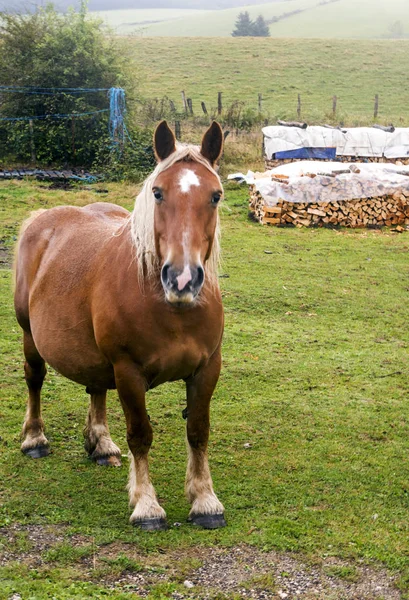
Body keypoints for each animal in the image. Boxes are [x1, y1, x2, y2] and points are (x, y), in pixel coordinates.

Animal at [13, 120, 226, 528]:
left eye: (216, 196)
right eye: (158, 193)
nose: (182, 279)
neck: (171, 309)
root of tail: (43, 217)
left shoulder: (207, 369)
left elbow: (198, 431)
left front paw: (205, 500)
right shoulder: (128, 371)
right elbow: (140, 434)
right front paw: (146, 505)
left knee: (95, 386)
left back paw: (100, 444)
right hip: (29, 334)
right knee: (35, 379)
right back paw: (34, 439)